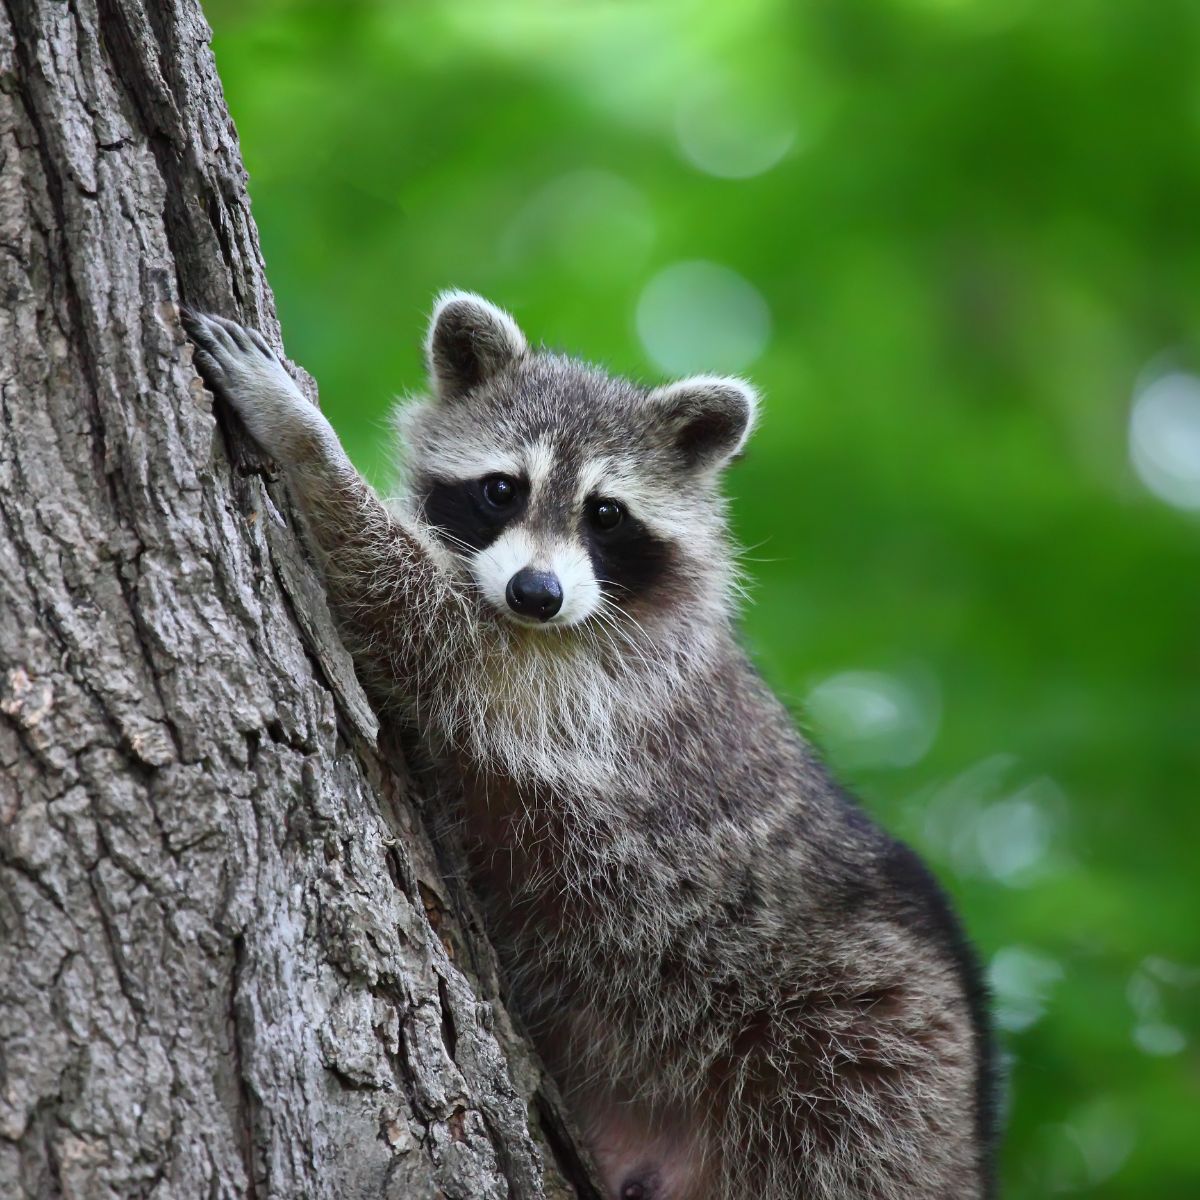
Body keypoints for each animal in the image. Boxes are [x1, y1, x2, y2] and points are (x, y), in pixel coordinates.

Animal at [182, 292, 998, 1200]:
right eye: (502, 490)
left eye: (605, 513)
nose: (535, 593)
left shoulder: (598, 688)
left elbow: (423, 619)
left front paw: (305, 439)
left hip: (858, 1069)